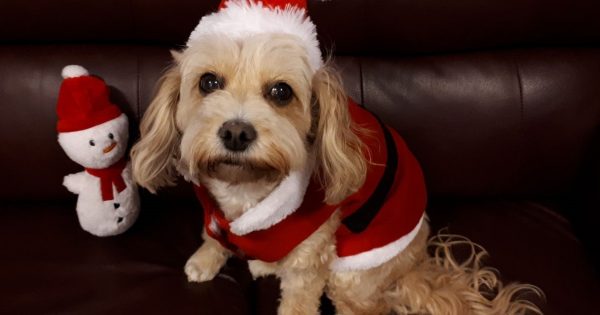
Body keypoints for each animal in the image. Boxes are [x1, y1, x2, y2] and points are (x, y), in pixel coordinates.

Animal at [129, 1, 540, 314]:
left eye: (281, 92)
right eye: (208, 82)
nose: (236, 133)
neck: (248, 188)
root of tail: (417, 262)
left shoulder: (309, 257)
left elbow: (298, 301)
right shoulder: (215, 210)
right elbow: (214, 233)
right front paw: (207, 257)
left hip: (354, 273)